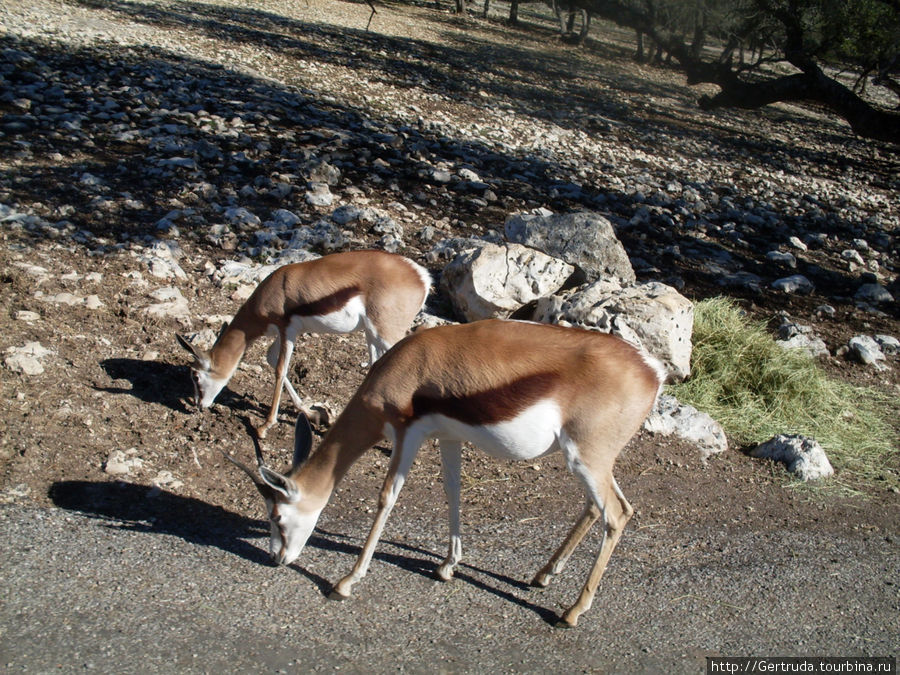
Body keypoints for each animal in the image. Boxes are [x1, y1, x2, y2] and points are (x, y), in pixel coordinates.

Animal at [178, 250, 430, 438]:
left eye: (196, 376)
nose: (197, 405)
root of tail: (421, 276)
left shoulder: (286, 329)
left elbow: (280, 369)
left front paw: (264, 427)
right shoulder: (285, 333)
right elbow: (271, 359)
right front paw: (311, 413)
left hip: (386, 334)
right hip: (372, 335)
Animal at [221, 320, 664, 624]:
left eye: (277, 516)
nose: (277, 558)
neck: (404, 370)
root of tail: (652, 371)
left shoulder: (407, 434)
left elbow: (386, 498)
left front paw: (345, 582)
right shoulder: (448, 437)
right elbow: (452, 491)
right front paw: (448, 566)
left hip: (586, 458)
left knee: (617, 514)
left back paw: (571, 612)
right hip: (589, 460)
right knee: (597, 508)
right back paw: (542, 576)